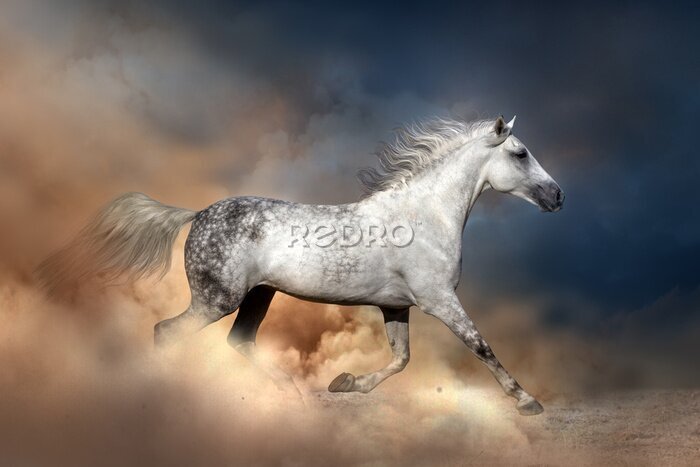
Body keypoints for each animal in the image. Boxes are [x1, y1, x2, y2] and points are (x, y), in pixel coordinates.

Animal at [38, 116, 564, 415]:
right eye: (520, 153)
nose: (558, 196)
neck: (422, 216)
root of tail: (198, 213)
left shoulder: (397, 306)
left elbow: (401, 359)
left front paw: (345, 383)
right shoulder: (439, 299)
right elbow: (481, 346)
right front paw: (528, 402)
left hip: (258, 296)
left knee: (239, 342)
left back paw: (293, 393)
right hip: (216, 299)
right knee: (167, 332)